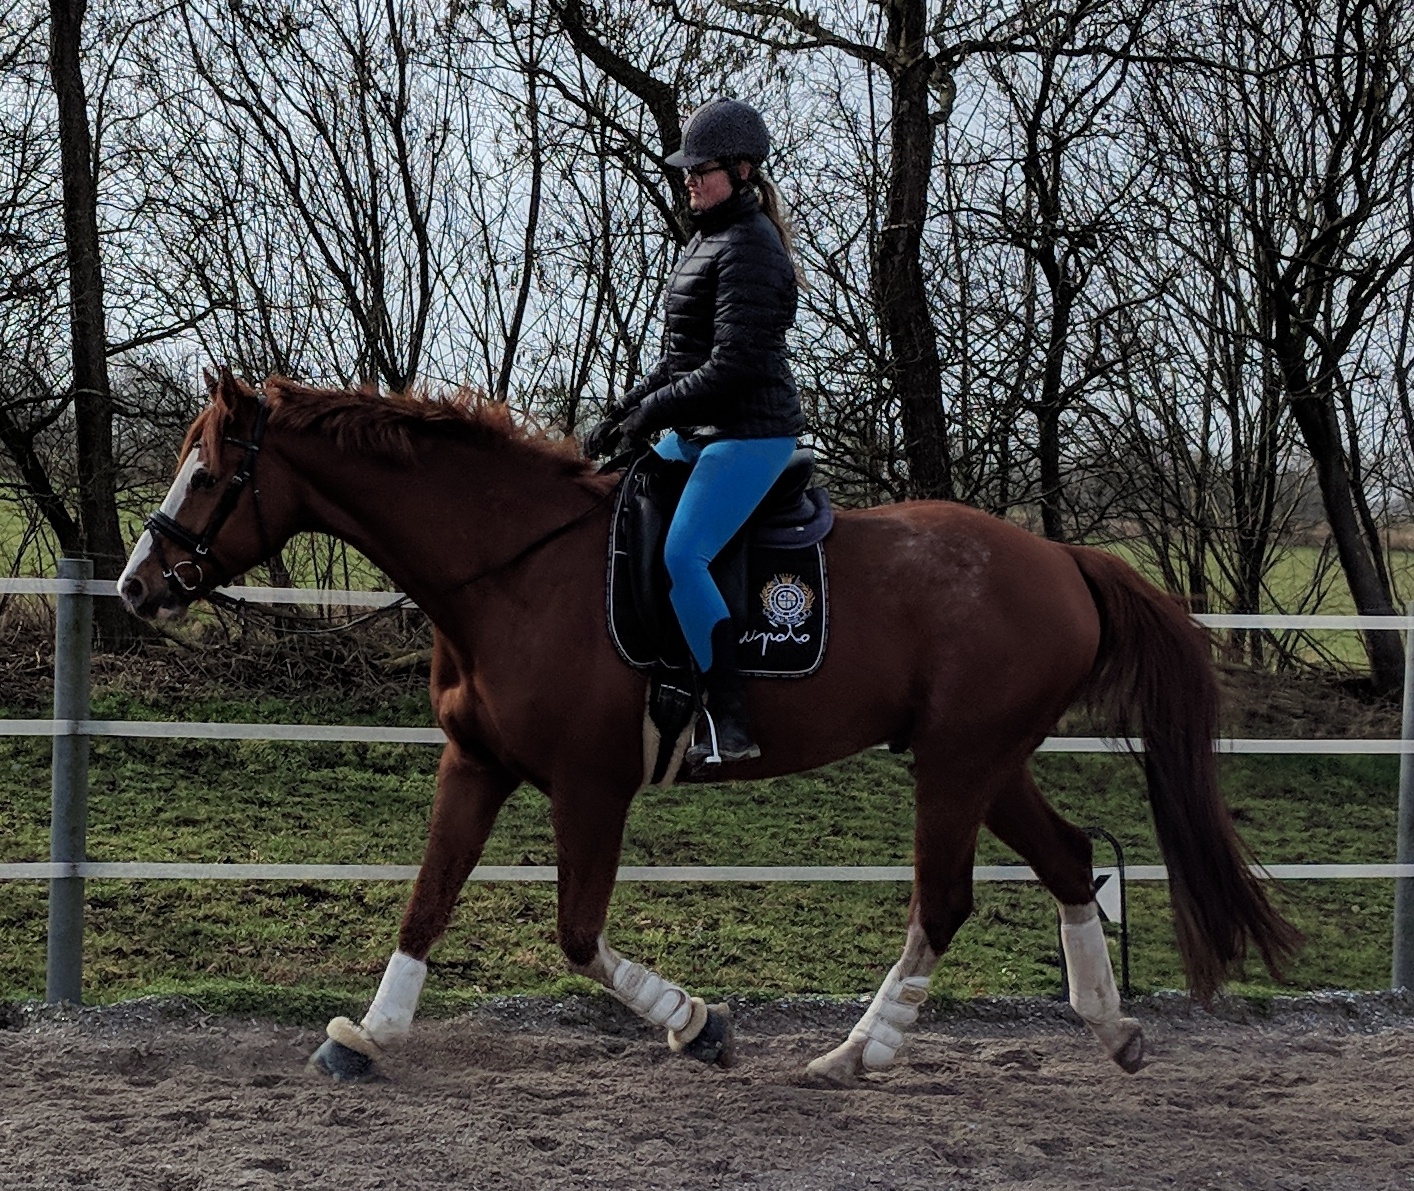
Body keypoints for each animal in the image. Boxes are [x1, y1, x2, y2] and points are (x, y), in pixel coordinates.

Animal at [118, 370, 1300, 1083]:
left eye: (210, 469)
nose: (136, 585)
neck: (513, 570)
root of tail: (1062, 557)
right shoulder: (477, 762)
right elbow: (428, 901)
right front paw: (370, 1033)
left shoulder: (590, 785)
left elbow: (578, 934)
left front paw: (698, 1023)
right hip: (984, 758)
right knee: (1064, 860)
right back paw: (1111, 1026)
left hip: (958, 765)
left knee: (945, 900)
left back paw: (858, 1053)